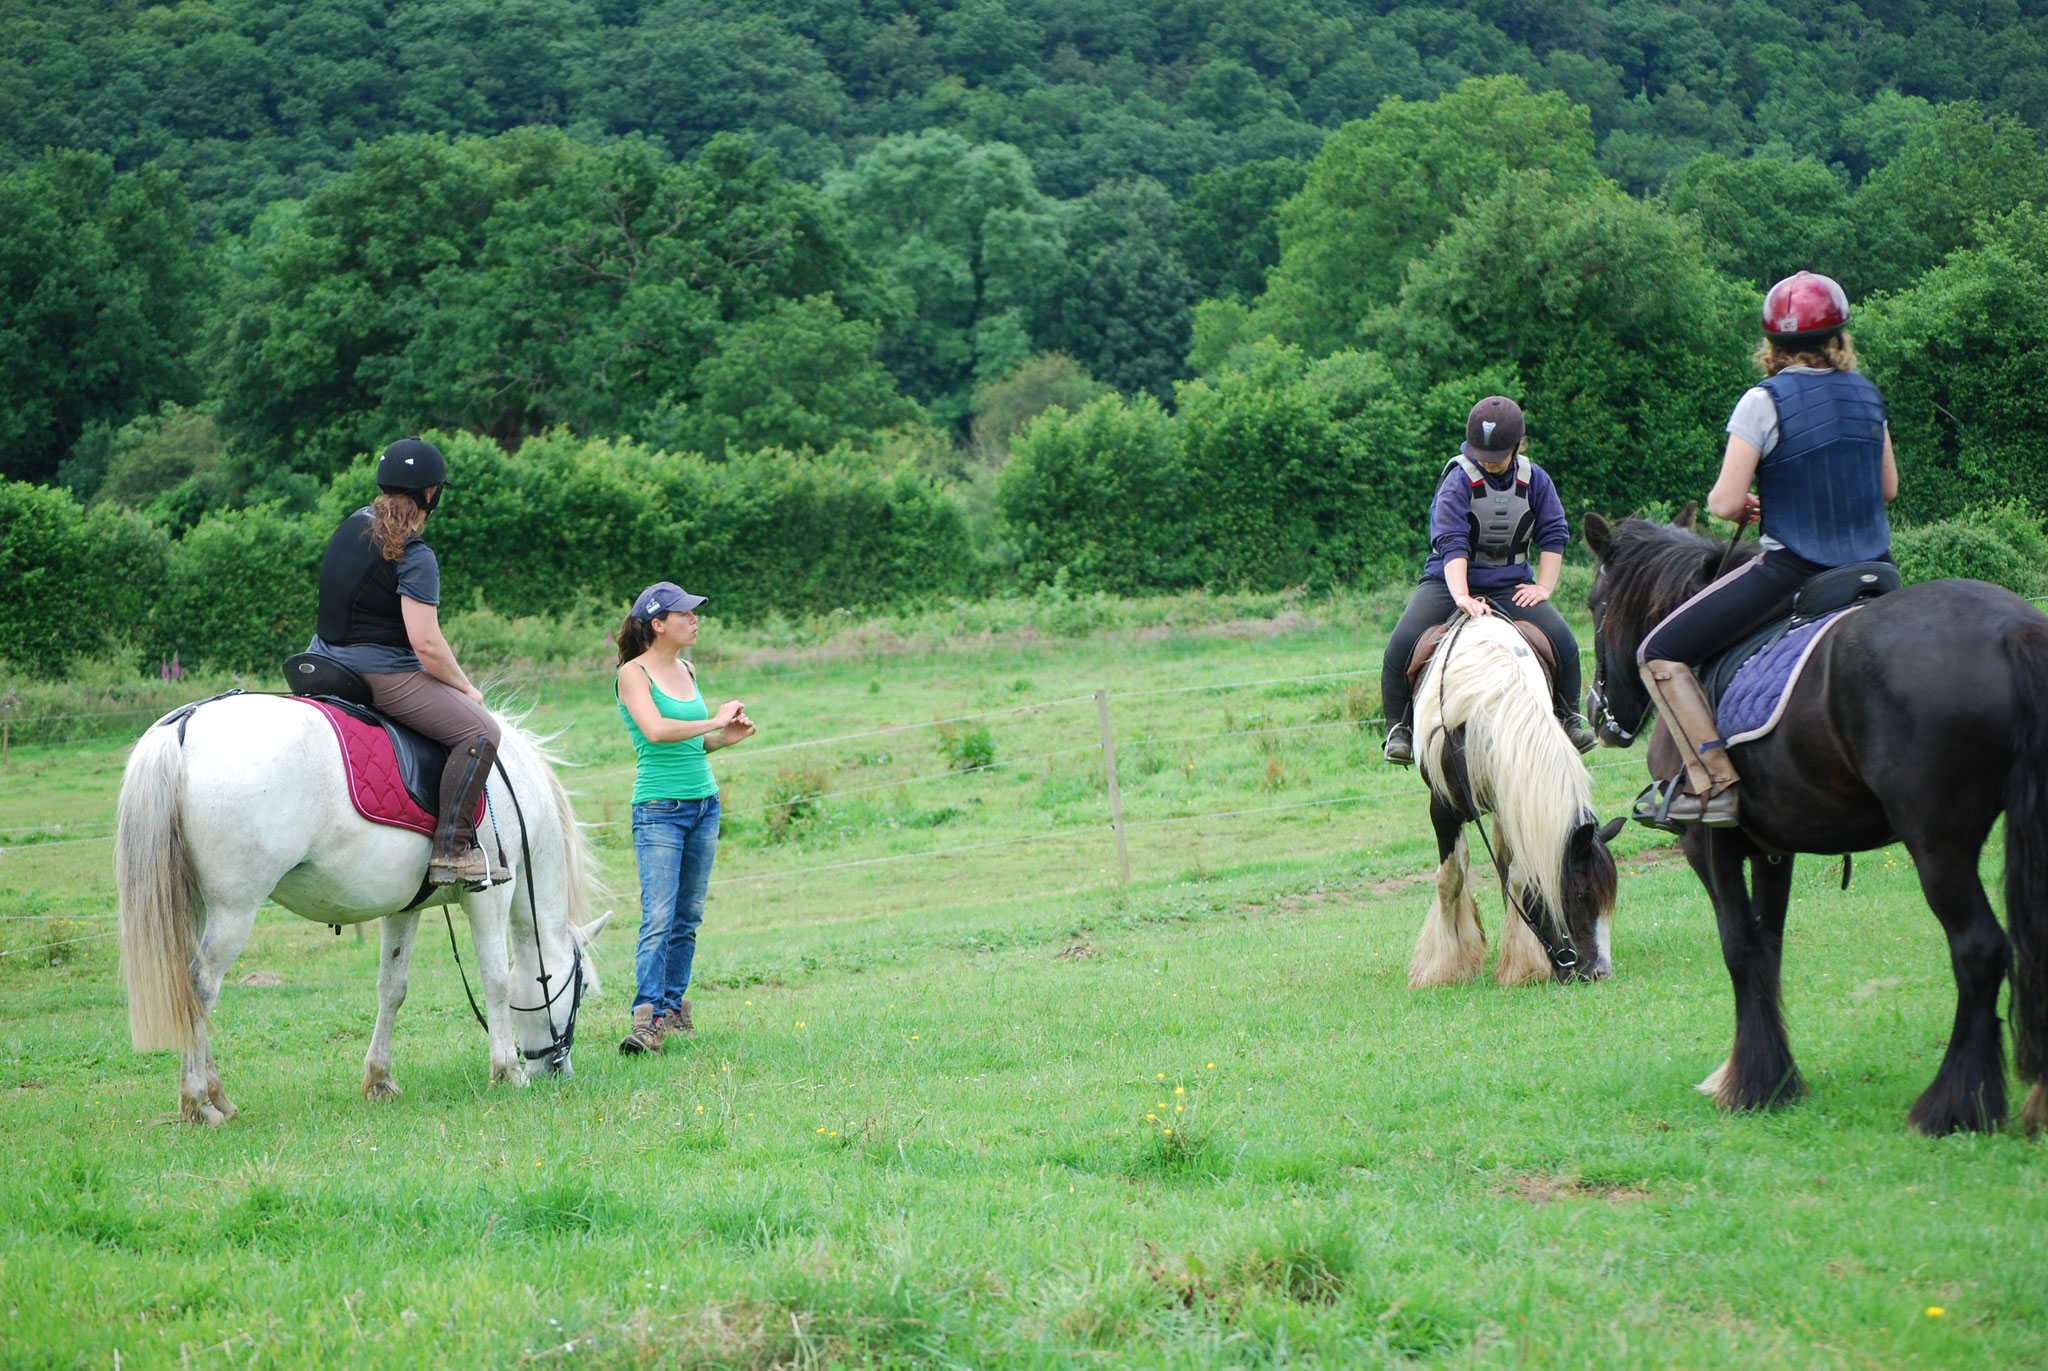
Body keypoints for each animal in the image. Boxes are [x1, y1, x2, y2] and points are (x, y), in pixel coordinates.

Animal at [116, 696, 602, 1123]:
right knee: (200, 988)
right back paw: (199, 1102)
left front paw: (380, 1080)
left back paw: (219, 1097)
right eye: (580, 989)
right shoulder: (490, 895)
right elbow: (497, 980)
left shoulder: (404, 908)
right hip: (234, 909)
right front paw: (507, 1071)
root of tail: (184, 725)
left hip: (196, 905)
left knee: (189, 994)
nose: (559, 1069)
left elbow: (393, 989)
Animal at [1581, 510, 2048, 1131]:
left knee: (1979, 949)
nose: (1598, 716)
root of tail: (2013, 629)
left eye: (1594, 603)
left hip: (1938, 846)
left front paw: (1751, 1085)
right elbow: (1768, 947)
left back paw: (1952, 1104)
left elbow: (1739, 948)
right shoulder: (1773, 848)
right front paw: (1775, 1077)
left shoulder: (1709, 844)